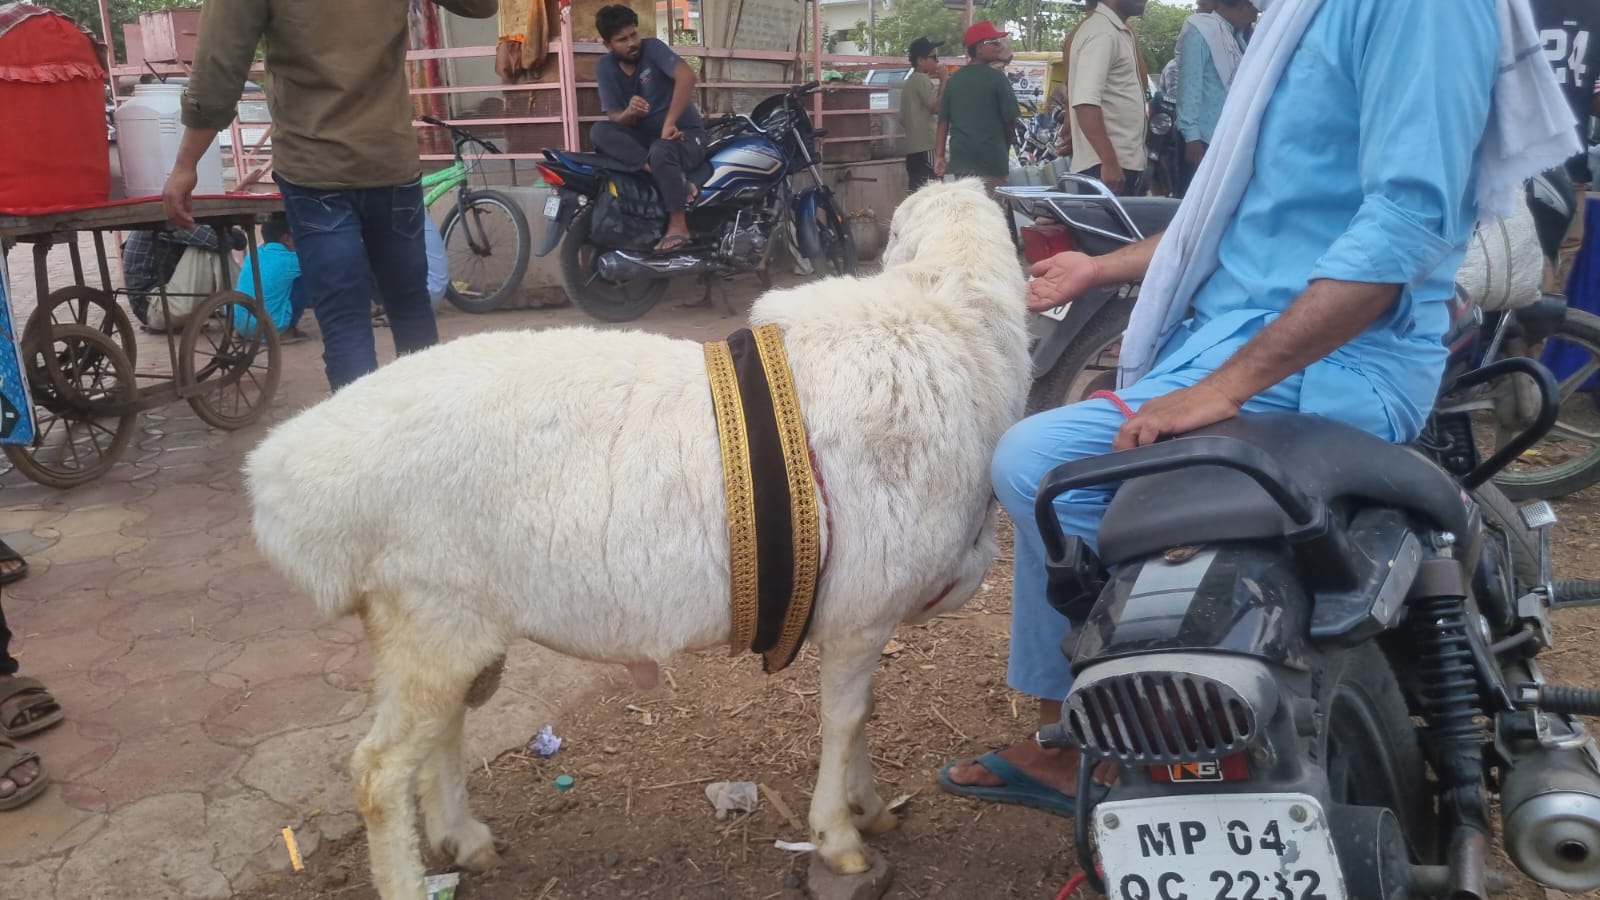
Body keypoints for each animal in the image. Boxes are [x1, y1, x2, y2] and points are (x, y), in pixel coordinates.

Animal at [244, 178, 1030, 900]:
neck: (955, 328)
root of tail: (283, 475)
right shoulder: (864, 609)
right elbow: (845, 720)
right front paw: (840, 839)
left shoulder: (862, 616)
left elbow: (864, 715)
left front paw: (870, 809)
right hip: (429, 615)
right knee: (377, 773)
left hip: (446, 625)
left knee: (440, 733)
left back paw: (465, 840)